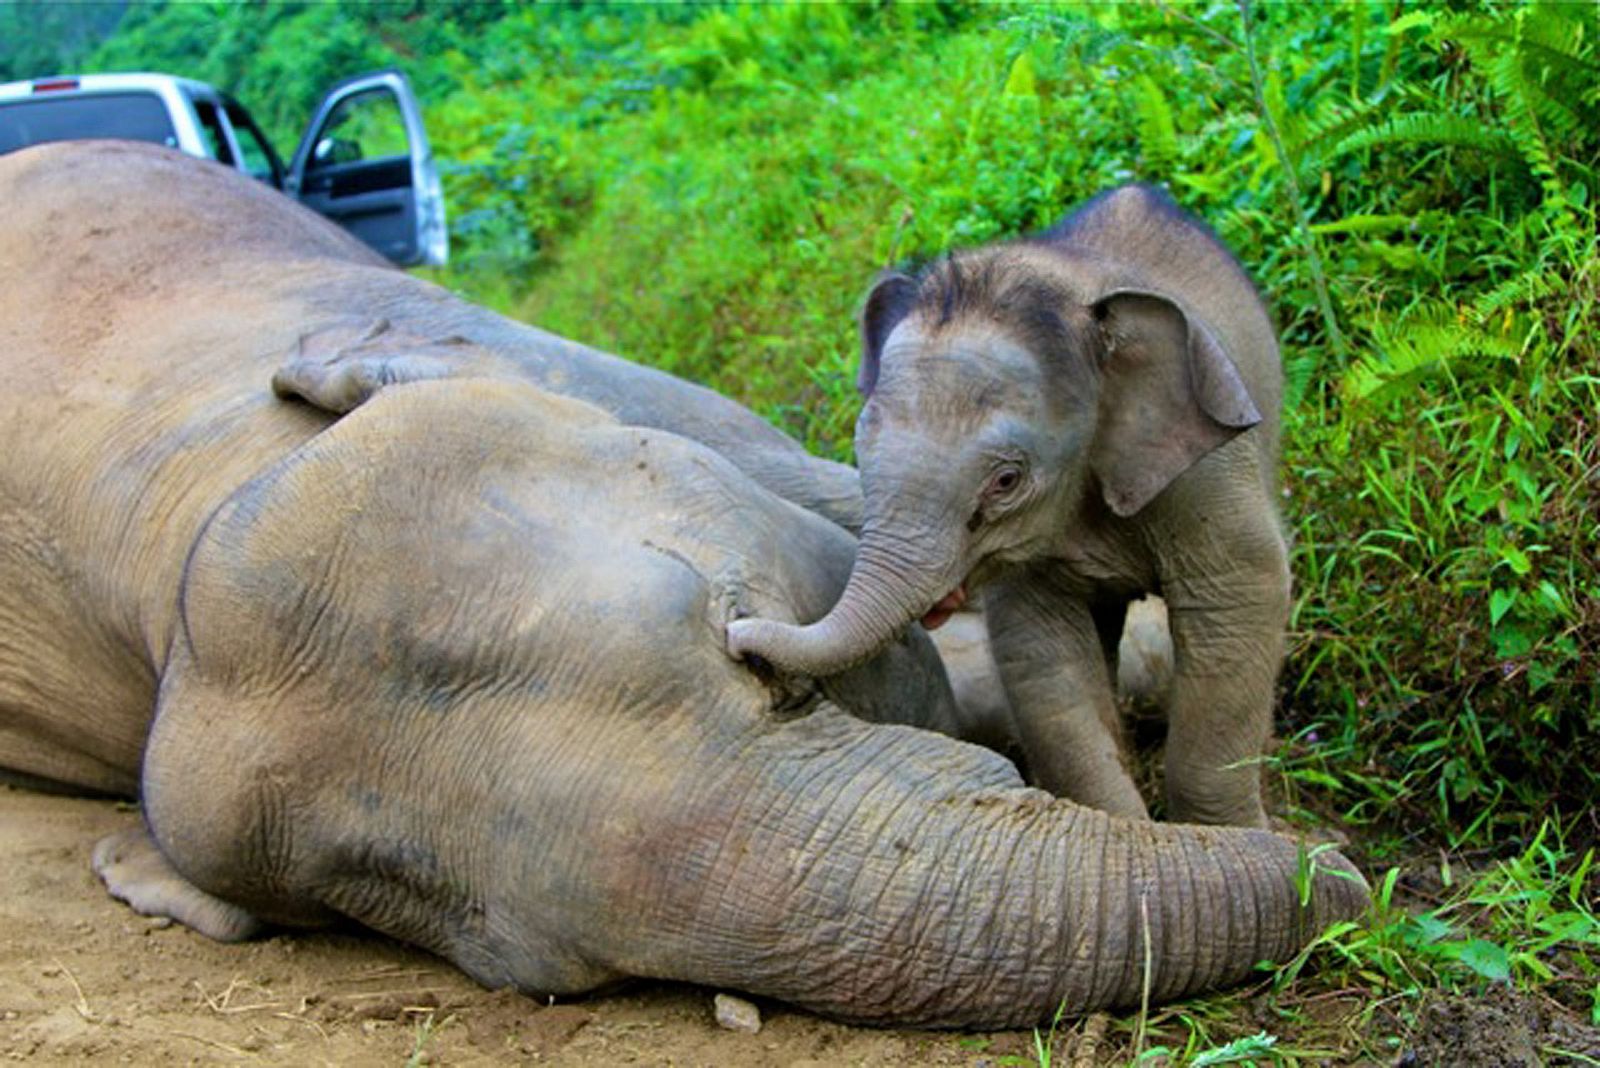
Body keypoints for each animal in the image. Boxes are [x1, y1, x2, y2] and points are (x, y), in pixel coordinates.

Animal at [732, 187, 1292, 831]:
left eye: (1005, 481)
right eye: (859, 450)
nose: (736, 637)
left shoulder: (1208, 470)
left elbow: (1241, 596)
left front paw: (1239, 836)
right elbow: (1041, 652)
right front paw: (1125, 829)